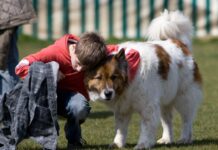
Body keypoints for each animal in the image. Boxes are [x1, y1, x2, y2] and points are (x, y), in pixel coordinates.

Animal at [84, 9, 203, 149]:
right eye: (99, 77)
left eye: (114, 77)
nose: (108, 93)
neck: (130, 74)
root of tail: (179, 44)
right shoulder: (123, 108)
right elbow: (120, 128)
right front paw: (117, 143)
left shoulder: (148, 107)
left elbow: (146, 128)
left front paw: (143, 144)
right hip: (164, 100)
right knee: (167, 121)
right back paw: (166, 139)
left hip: (183, 97)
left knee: (187, 120)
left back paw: (185, 138)